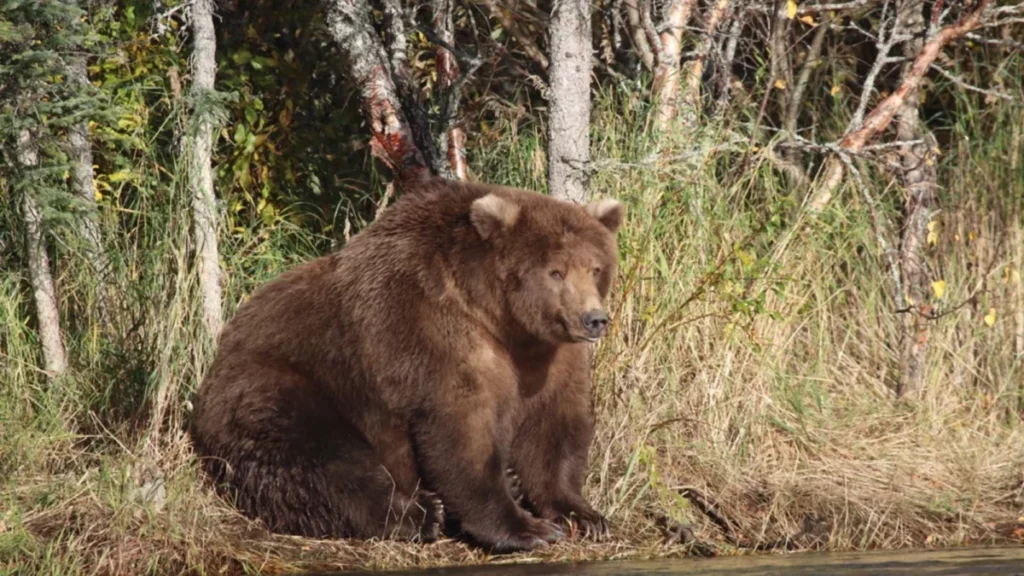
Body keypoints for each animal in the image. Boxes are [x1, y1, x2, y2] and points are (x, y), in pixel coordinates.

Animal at [188, 175, 625, 552]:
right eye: (556, 271)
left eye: (596, 267)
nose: (593, 319)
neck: (499, 319)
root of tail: (215, 363)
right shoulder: (429, 330)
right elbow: (461, 430)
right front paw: (525, 528)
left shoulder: (548, 357)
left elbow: (553, 428)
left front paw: (583, 515)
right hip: (282, 387)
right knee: (324, 460)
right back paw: (421, 513)